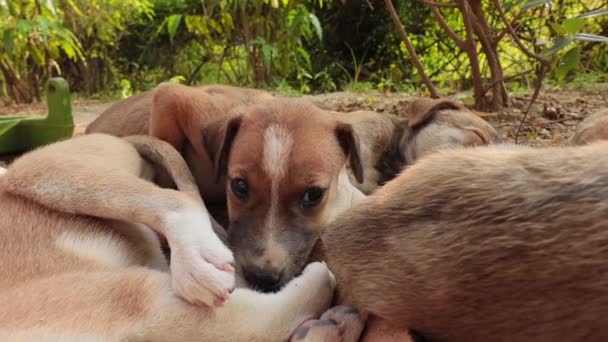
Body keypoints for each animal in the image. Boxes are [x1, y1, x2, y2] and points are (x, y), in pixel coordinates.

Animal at [0, 134, 334, 342]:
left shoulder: (142, 303)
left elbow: (262, 324)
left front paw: (323, 281)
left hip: (46, 175)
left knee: (177, 200)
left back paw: (196, 260)